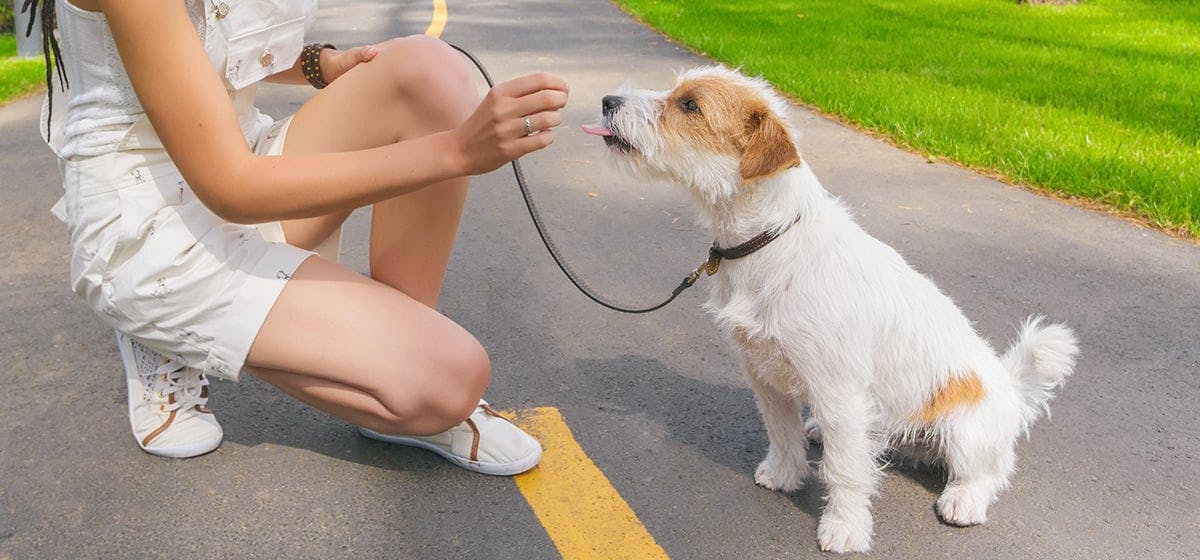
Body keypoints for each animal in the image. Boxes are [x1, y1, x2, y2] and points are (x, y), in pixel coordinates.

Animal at [580, 68, 1080, 554]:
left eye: (690, 105)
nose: (607, 101)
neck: (770, 242)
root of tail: (1012, 388)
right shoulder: (764, 376)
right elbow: (782, 434)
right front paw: (784, 475)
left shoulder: (837, 387)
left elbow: (844, 471)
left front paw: (845, 529)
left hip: (965, 432)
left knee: (989, 471)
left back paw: (964, 499)